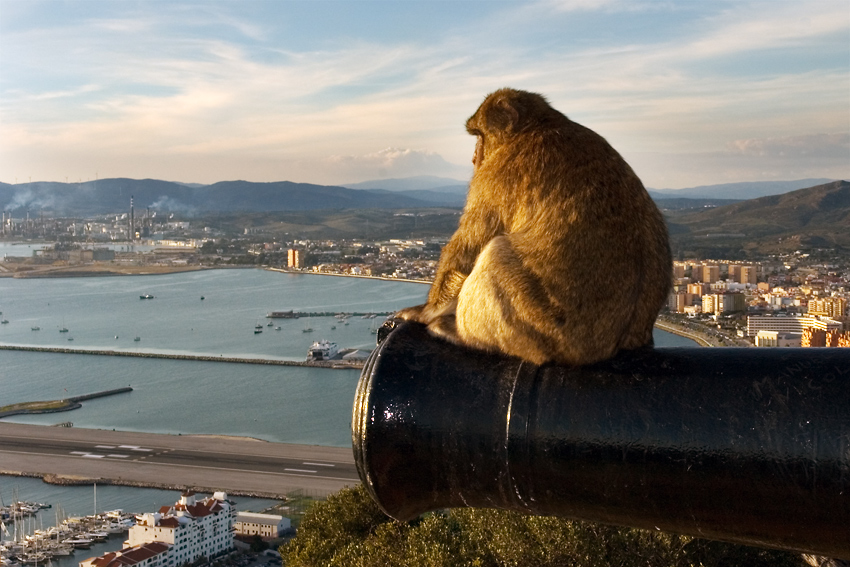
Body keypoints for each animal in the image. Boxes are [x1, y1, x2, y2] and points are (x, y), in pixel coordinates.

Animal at [394, 86, 672, 366]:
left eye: (479, 135)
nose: (474, 158)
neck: (537, 126)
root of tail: (607, 350)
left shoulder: (495, 175)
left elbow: (467, 248)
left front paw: (425, 311)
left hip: (542, 333)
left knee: (496, 254)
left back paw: (461, 335)